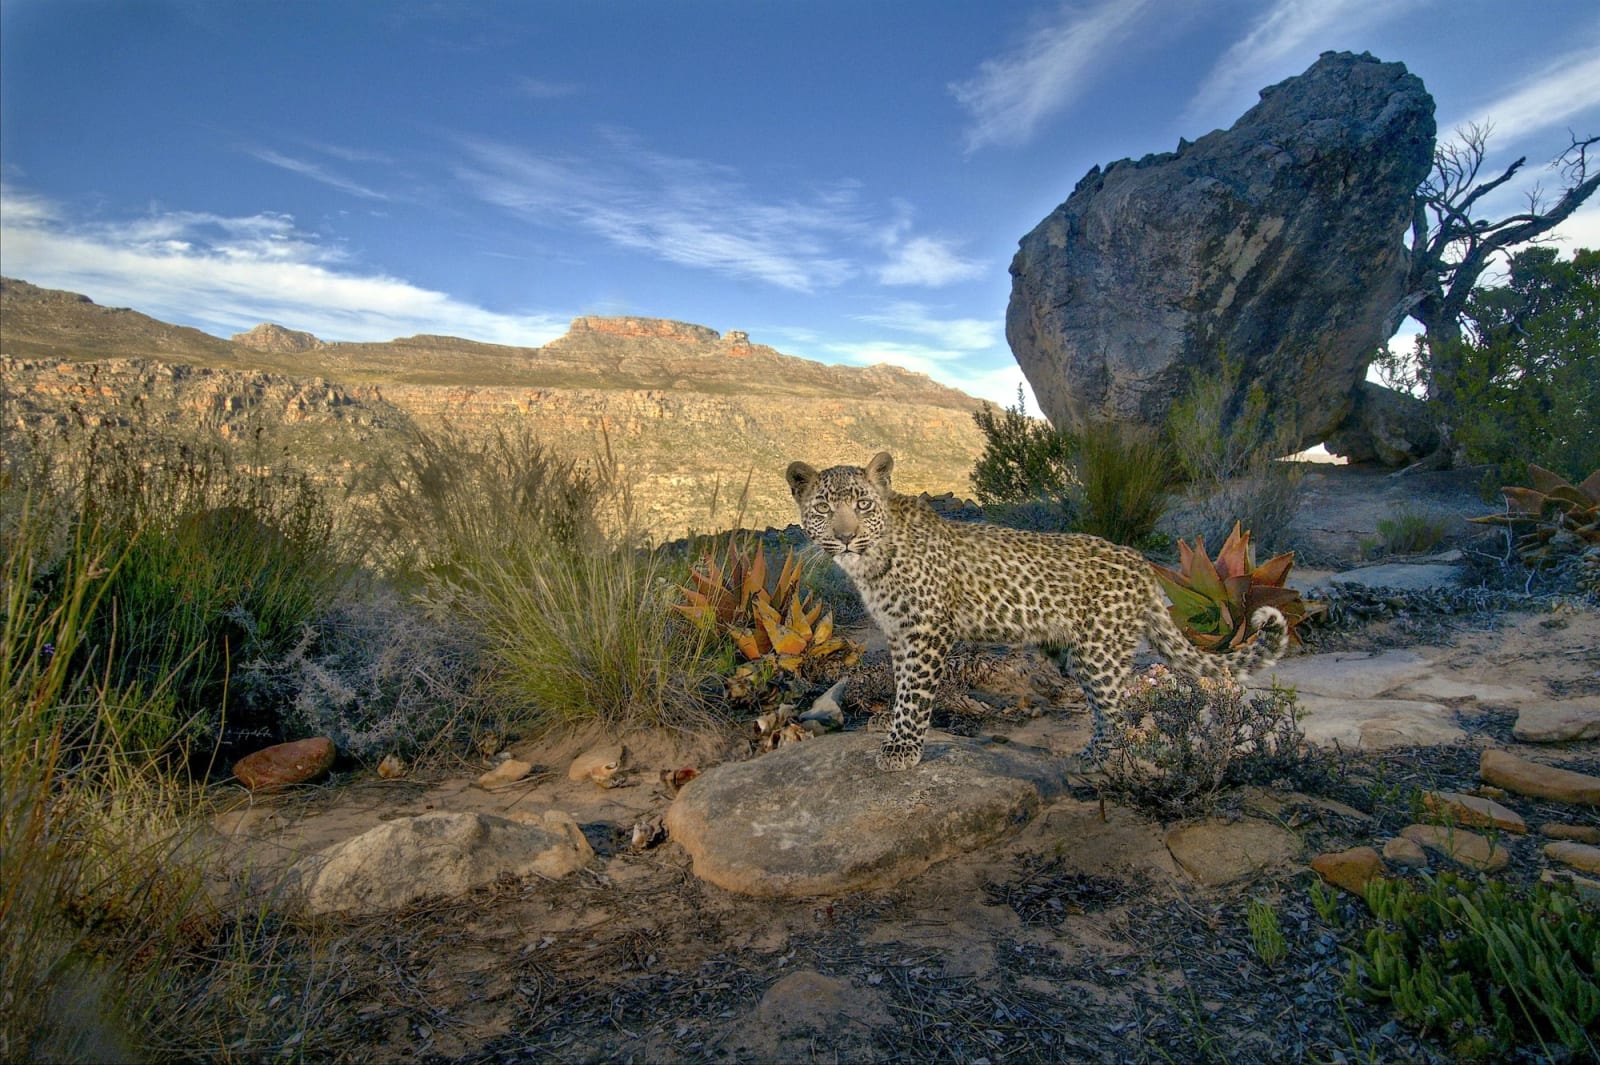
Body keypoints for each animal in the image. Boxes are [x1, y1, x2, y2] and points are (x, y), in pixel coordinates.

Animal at [785, 451, 1289, 772]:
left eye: (863, 504)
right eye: (824, 507)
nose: (846, 536)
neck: (868, 563)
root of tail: (1144, 566)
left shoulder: (926, 631)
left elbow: (914, 693)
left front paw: (902, 750)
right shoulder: (896, 633)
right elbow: (899, 685)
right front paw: (887, 728)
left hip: (1100, 651)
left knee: (1119, 708)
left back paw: (1101, 760)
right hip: (1074, 654)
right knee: (1105, 705)